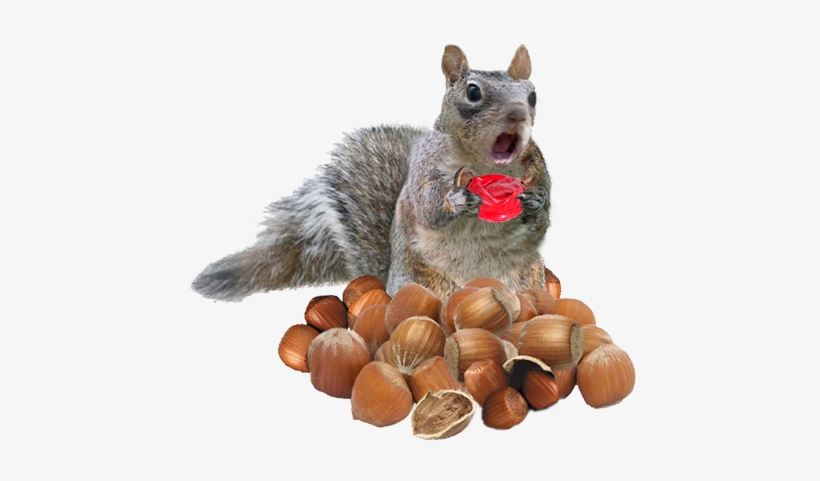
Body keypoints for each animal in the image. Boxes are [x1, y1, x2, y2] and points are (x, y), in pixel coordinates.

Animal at [192, 45, 551, 302]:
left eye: (533, 95)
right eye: (473, 92)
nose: (518, 114)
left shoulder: (538, 164)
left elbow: (543, 212)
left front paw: (536, 199)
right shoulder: (424, 166)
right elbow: (428, 206)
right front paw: (459, 198)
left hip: (528, 277)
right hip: (423, 283)